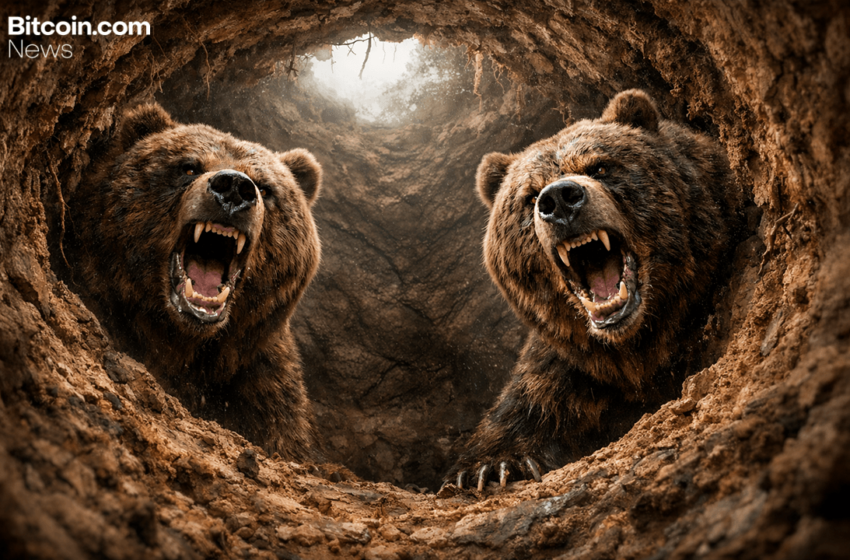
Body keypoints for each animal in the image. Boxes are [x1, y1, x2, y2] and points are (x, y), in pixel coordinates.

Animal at [447, 90, 740, 490]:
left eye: (599, 167)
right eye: (530, 194)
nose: (559, 200)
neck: (637, 349)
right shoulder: (570, 368)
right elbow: (524, 410)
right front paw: (492, 467)